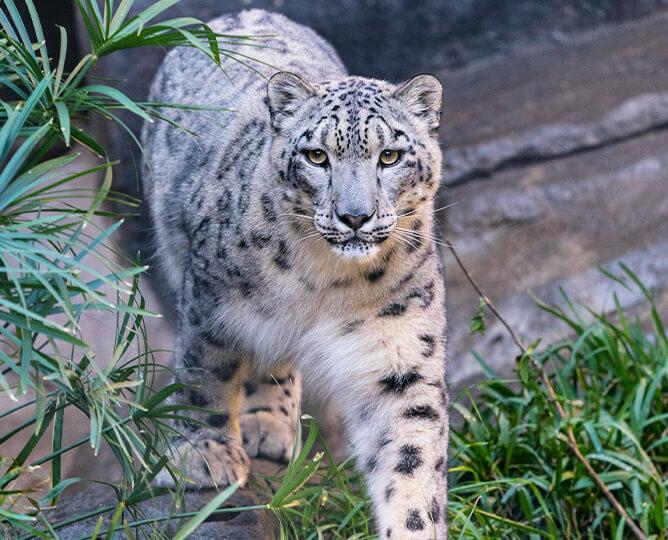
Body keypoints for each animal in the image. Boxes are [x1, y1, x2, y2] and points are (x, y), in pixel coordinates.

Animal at [141, 9, 448, 538]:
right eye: (316, 156)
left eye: (390, 155)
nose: (354, 216)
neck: (328, 280)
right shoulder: (210, 300)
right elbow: (204, 373)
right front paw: (204, 456)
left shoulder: (401, 350)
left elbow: (410, 457)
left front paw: (413, 525)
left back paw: (268, 424)